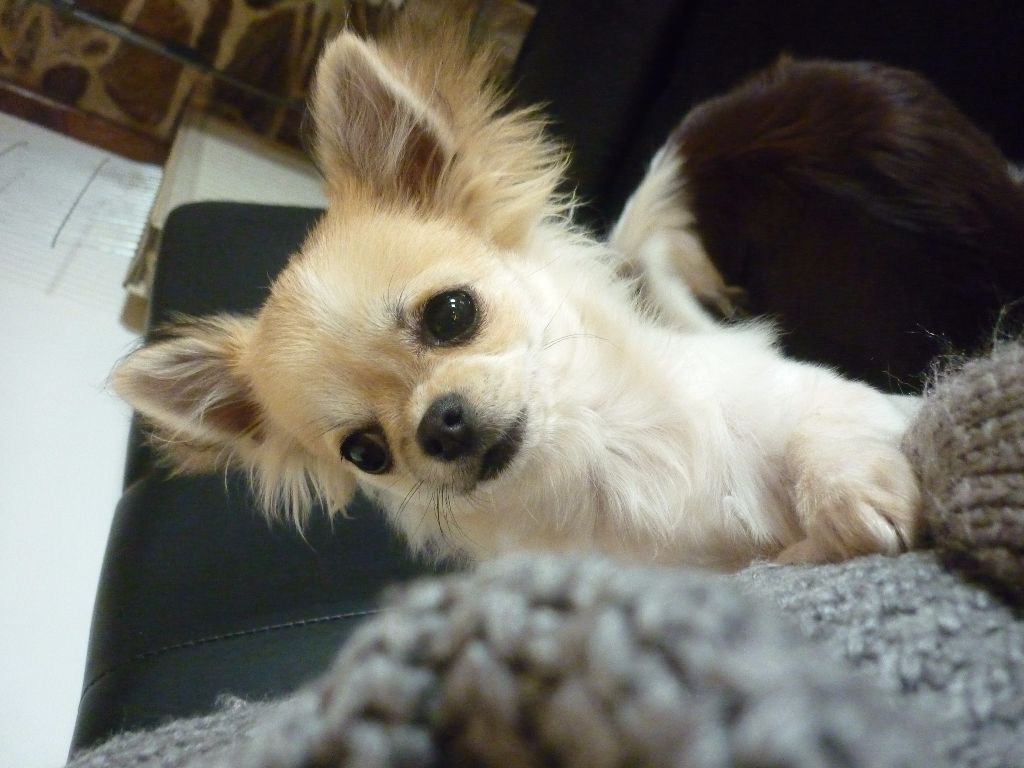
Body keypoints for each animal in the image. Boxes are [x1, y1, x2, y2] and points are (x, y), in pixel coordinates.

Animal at [112, 23, 922, 570]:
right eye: (366, 452)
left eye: (451, 314)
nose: (440, 427)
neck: (601, 458)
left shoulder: (818, 398)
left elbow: (825, 424)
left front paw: (850, 499)